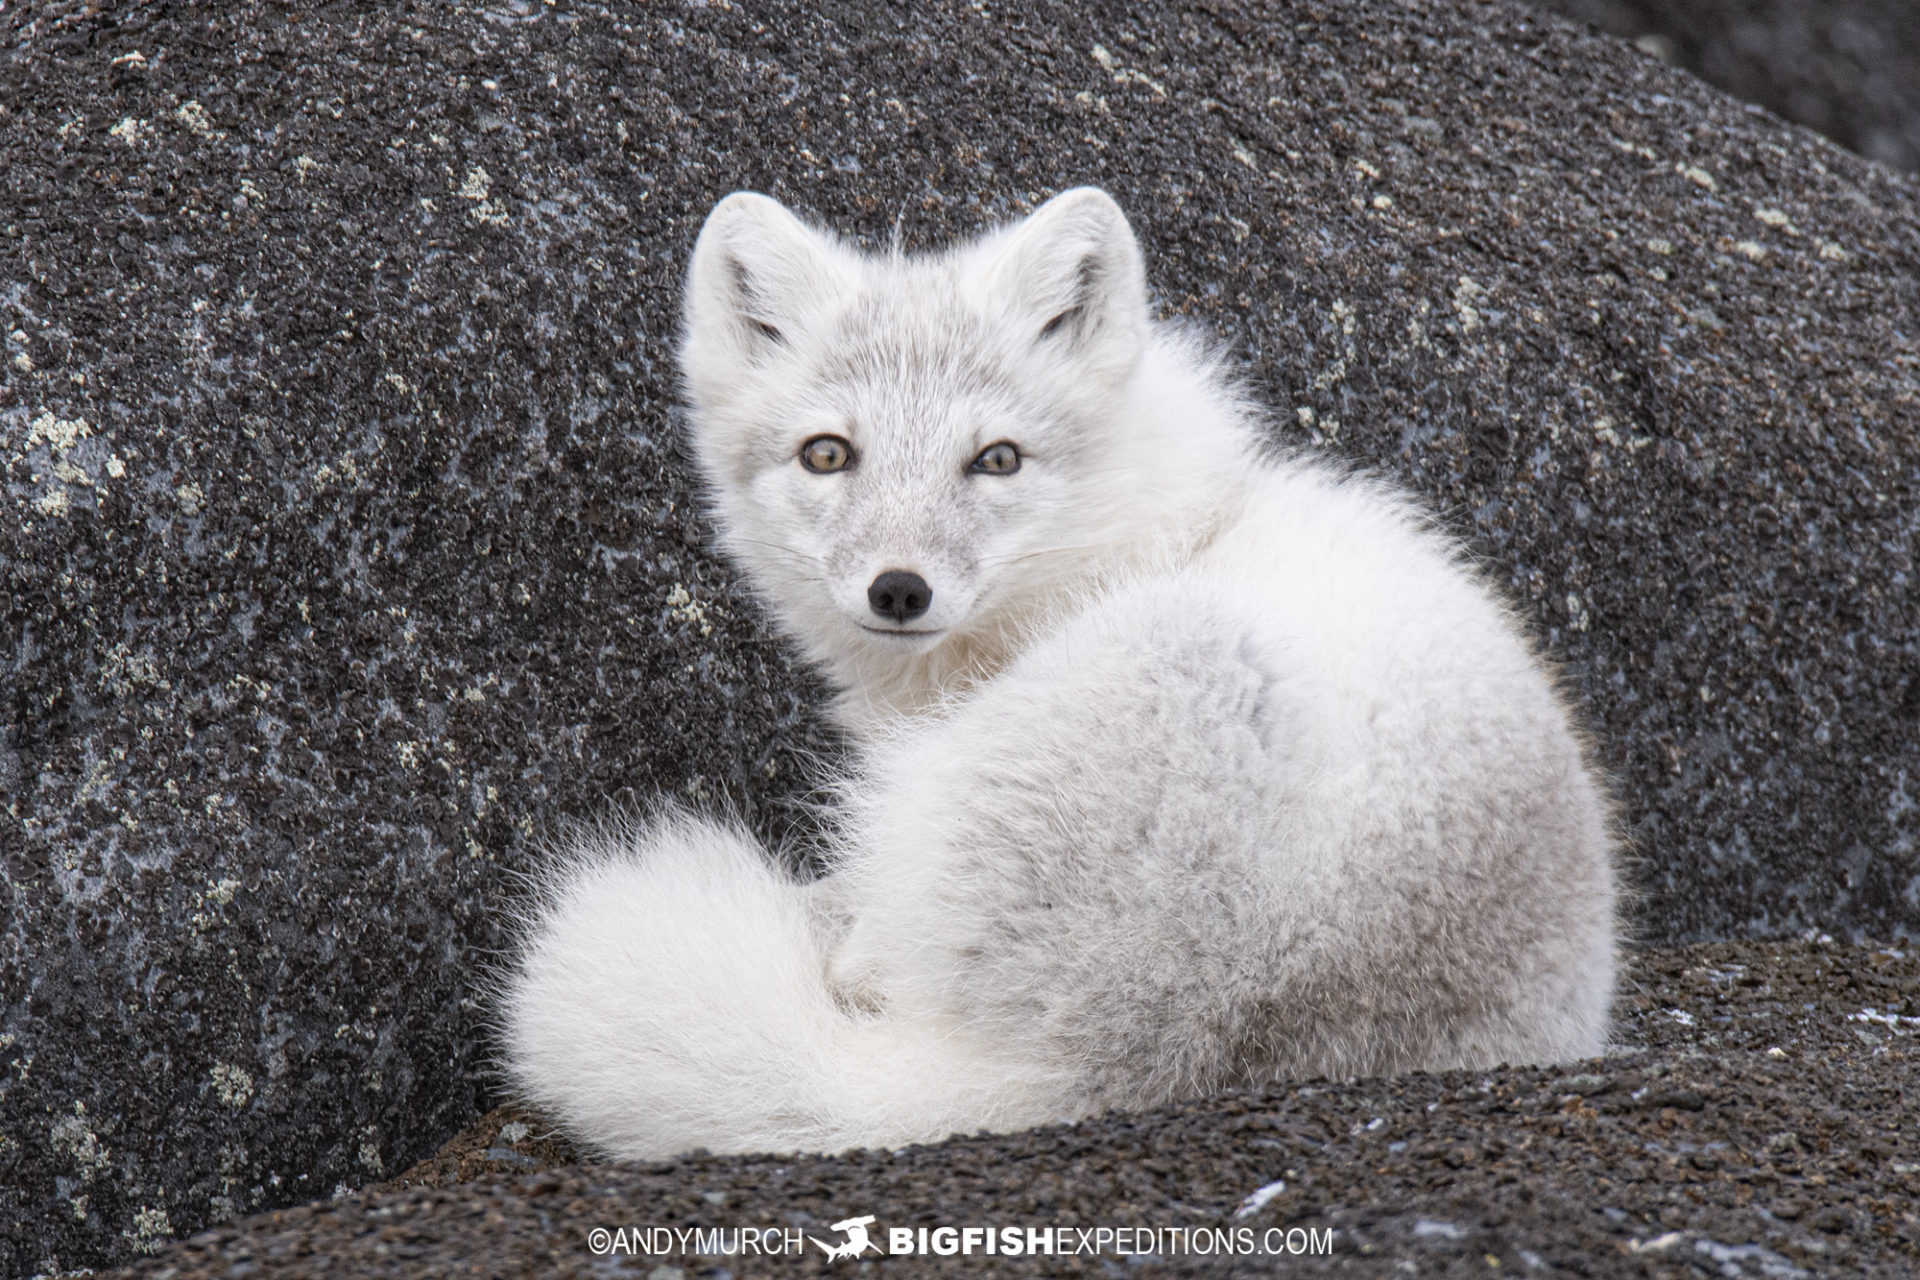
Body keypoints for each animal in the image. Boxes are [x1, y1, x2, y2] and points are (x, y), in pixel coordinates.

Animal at [499, 188, 1620, 1159]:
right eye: (828, 454)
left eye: (996, 459)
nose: (898, 589)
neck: (1141, 532)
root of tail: (1146, 1051)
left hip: (1161, 673)